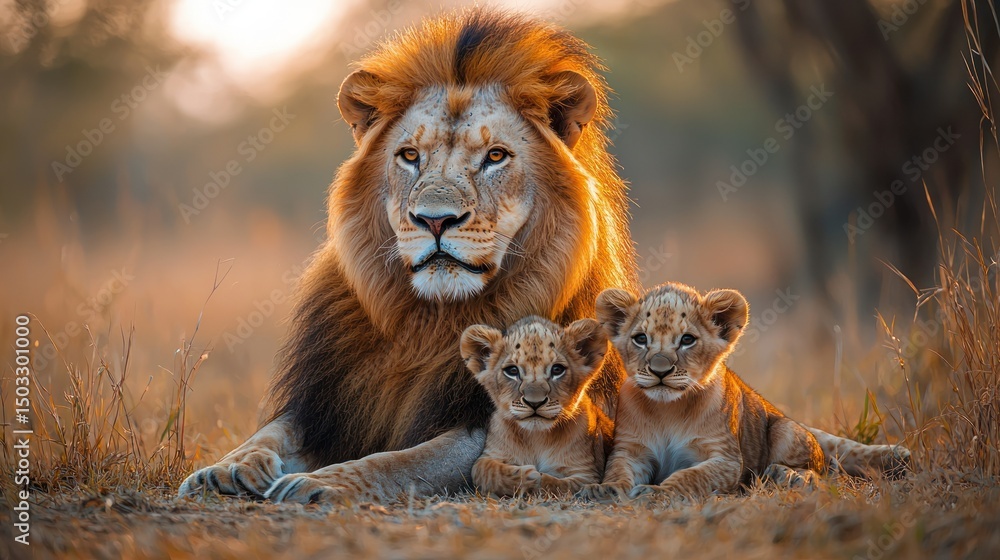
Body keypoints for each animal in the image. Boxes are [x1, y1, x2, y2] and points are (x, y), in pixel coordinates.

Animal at [461, 316, 613, 497]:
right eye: (512, 371)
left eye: (557, 369)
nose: (535, 402)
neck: (537, 438)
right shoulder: (488, 456)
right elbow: (486, 471)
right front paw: (526, 476)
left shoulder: (587, 474)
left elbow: (558, 485)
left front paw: (537, 479)